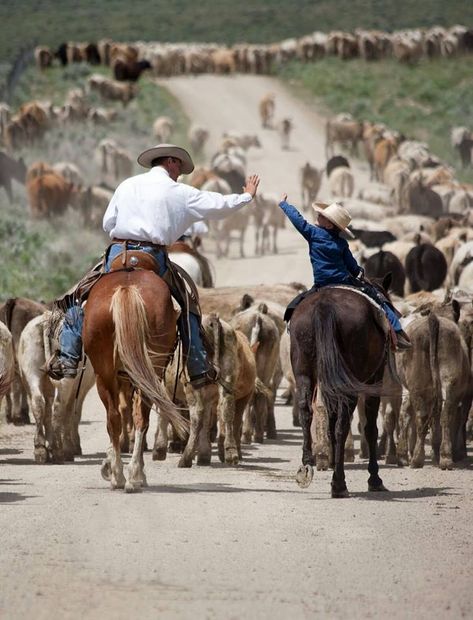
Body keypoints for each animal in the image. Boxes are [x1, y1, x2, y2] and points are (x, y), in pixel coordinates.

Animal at [83, 268, 188, 492]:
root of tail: (126, 288)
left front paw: (108, 464)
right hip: (145, 372)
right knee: (139, 418)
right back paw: (134, 476)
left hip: (105, 374)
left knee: (115, 418)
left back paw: (120, 476)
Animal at [292, 280, 390, 498]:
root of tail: (324, 306)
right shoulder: (376, 378)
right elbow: (370, 428)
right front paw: (375, 479)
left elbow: (329, 422)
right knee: (342, 425)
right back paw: (339, 484)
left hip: (304, 371)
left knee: (306, 410)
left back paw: (307, 463)